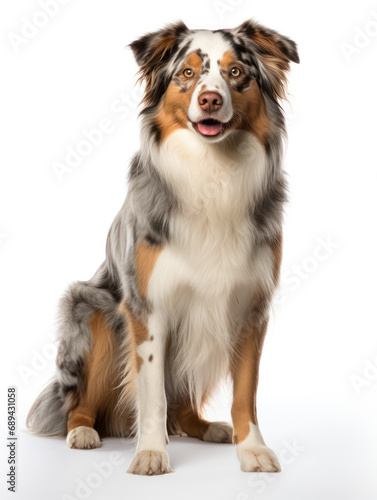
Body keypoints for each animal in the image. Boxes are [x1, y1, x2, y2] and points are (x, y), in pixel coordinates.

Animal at [27, 18, 298, 472]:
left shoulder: (250, 306)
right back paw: (83, 432)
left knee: (182, 405)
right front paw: (151, 452)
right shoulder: (146, 307)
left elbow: (246, 392)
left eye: (236, 72)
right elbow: (152, 394)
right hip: (94, 314)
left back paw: (209, 427)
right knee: (79, 401)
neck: (212, 172)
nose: (210, 99)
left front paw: (252, 449)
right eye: (187, 73)